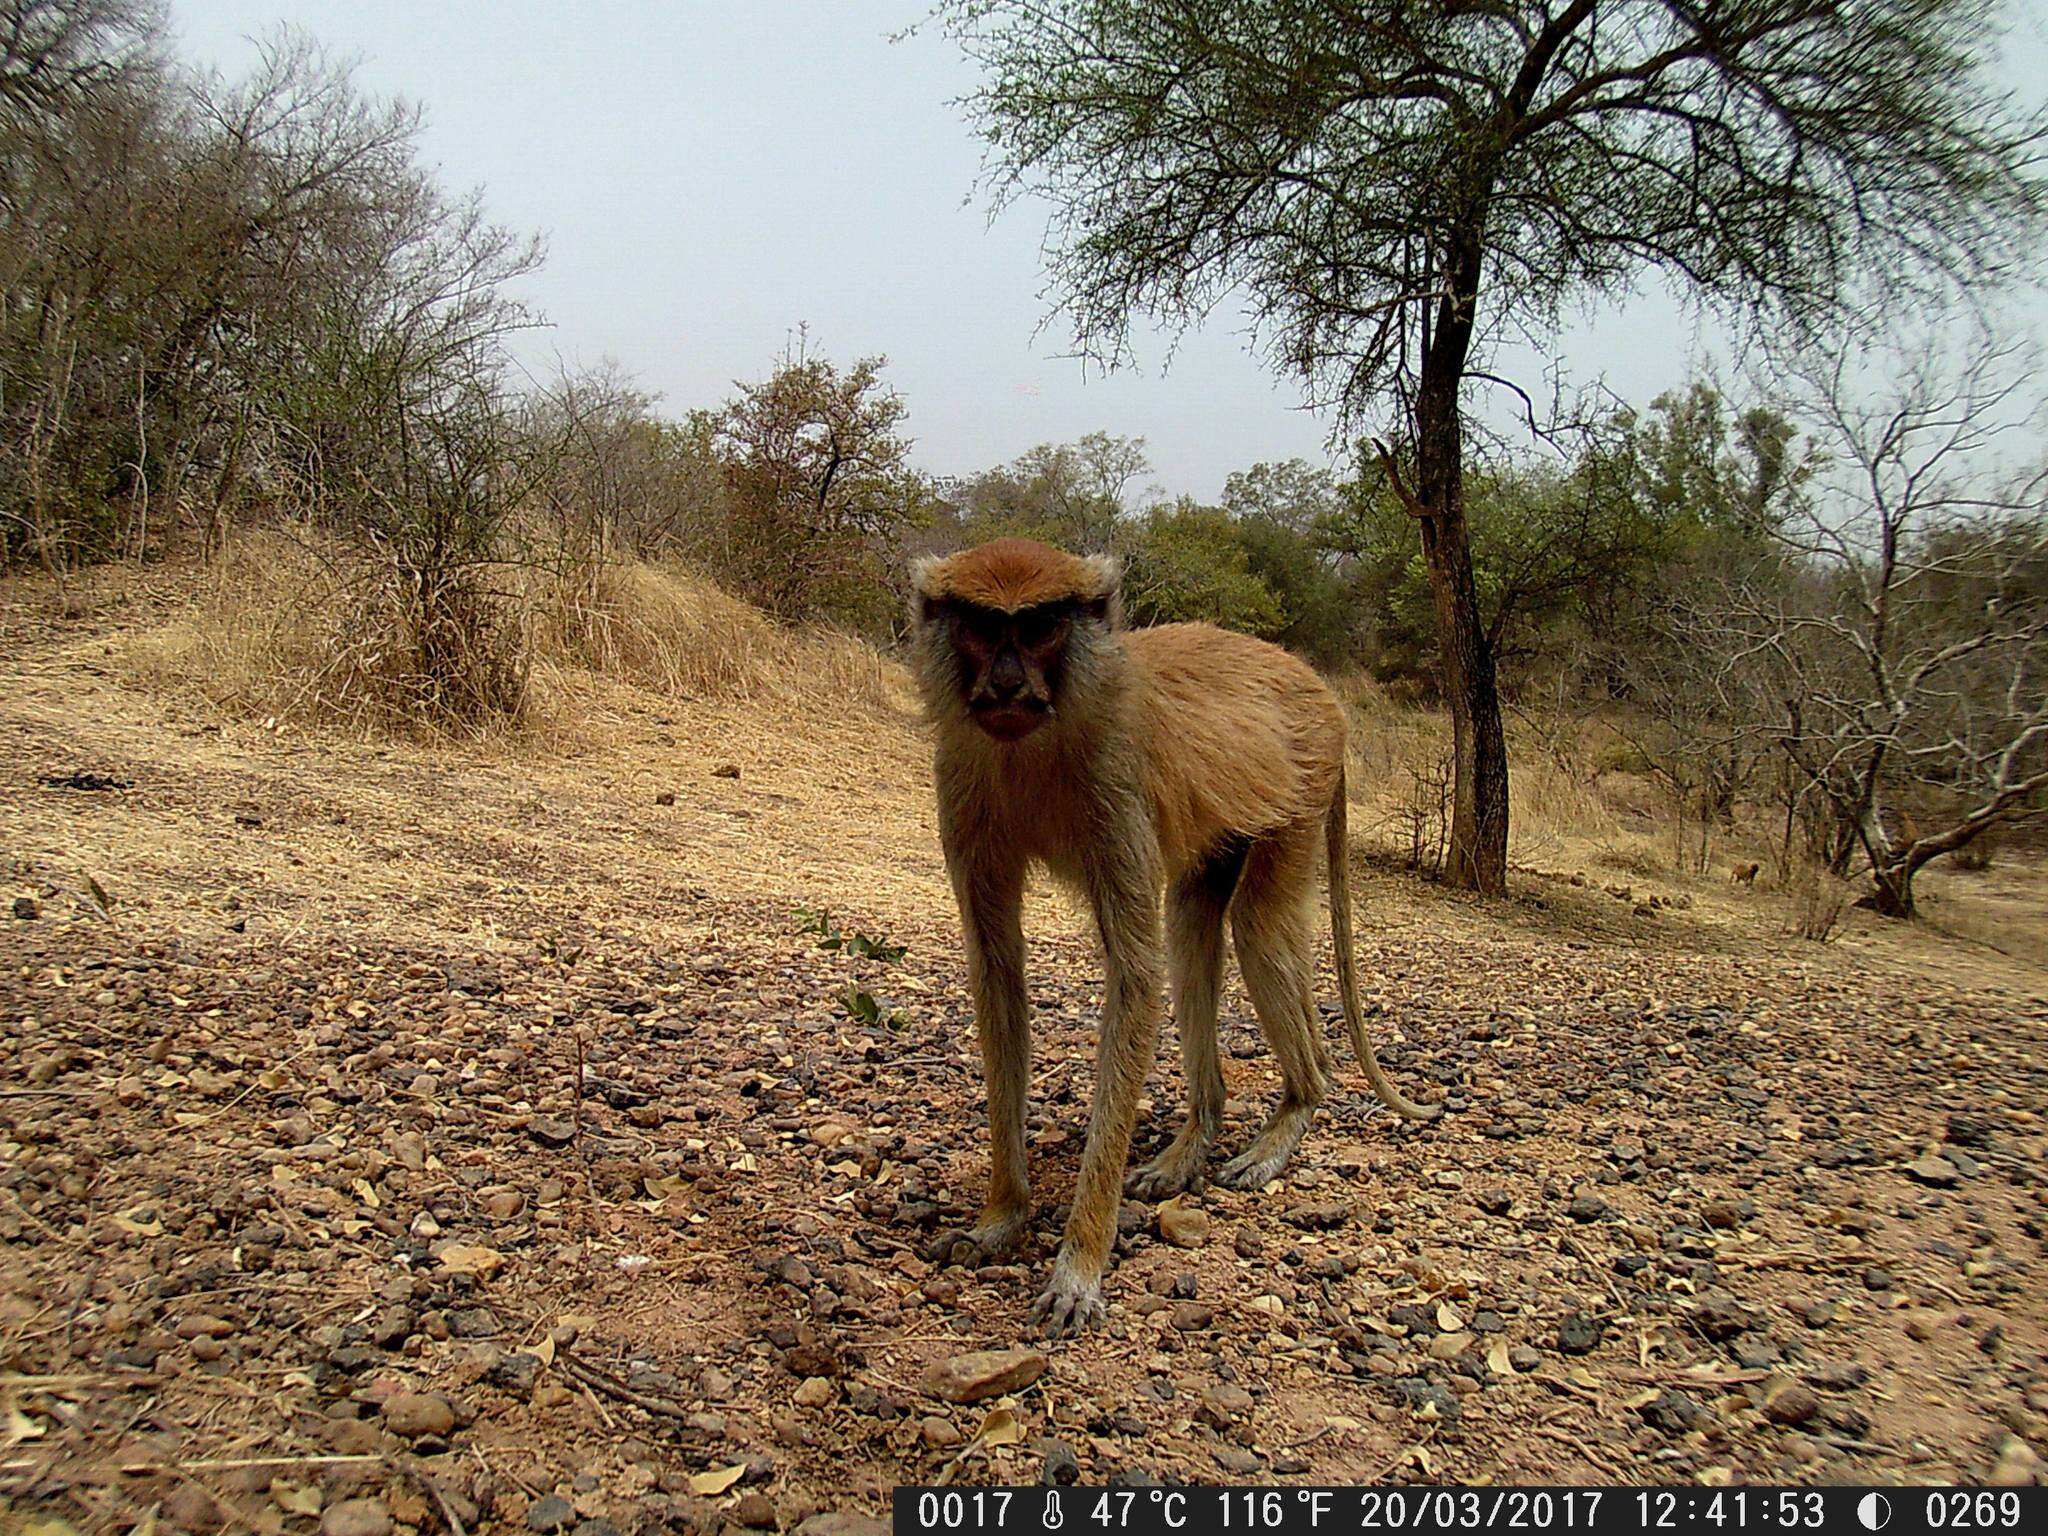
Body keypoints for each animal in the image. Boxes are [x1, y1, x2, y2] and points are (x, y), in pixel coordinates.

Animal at [913, 540, 1441, 1335]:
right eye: (980, 626)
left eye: (1038, 628)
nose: (1007, 683)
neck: (1042, 737)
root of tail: (1318, 689)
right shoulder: (964, 783)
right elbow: (999, 973)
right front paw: (1002, 1215)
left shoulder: (1115, 781)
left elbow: (1135, 976)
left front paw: (1079, 1263)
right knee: (1194, 922)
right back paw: (1195, 1140)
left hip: (1303, 783)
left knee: (1254, 926)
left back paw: (1299, 1104)